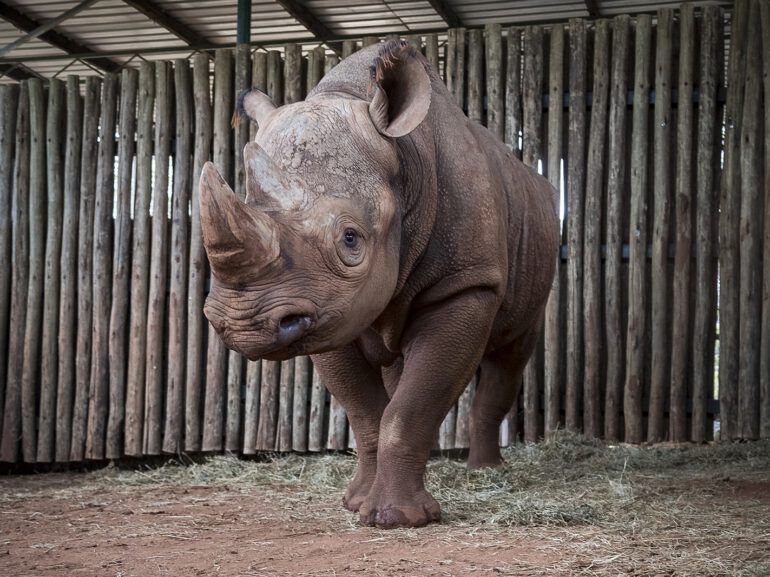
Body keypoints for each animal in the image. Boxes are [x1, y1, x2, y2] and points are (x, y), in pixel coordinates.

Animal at [200, 40, 559, 528]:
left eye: (351, 239)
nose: (242, 325)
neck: (404, 160)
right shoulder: (326, 309)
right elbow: (369, 410)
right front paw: (355, 504)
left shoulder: (465, 285)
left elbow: (410, 407)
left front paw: (399, 519)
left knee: (511, 353)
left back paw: (484, 472)